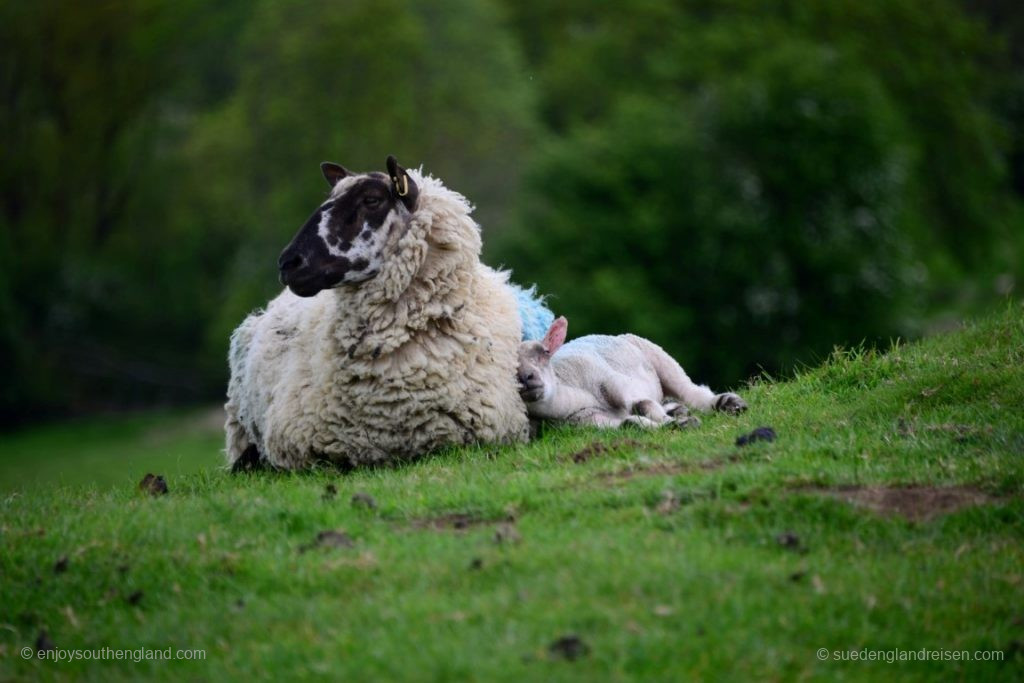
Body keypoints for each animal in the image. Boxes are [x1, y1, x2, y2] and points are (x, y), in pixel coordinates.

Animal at [516, 317, 749, 428]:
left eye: (545, 352)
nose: (526, 378)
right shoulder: (584, 421)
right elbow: (630, 424)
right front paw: (674, 424)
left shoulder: (613, 381)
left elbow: (643, 404)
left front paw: (674, 421)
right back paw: (678, 411)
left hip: (659, 356)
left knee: (691, 391)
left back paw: (728, 403)